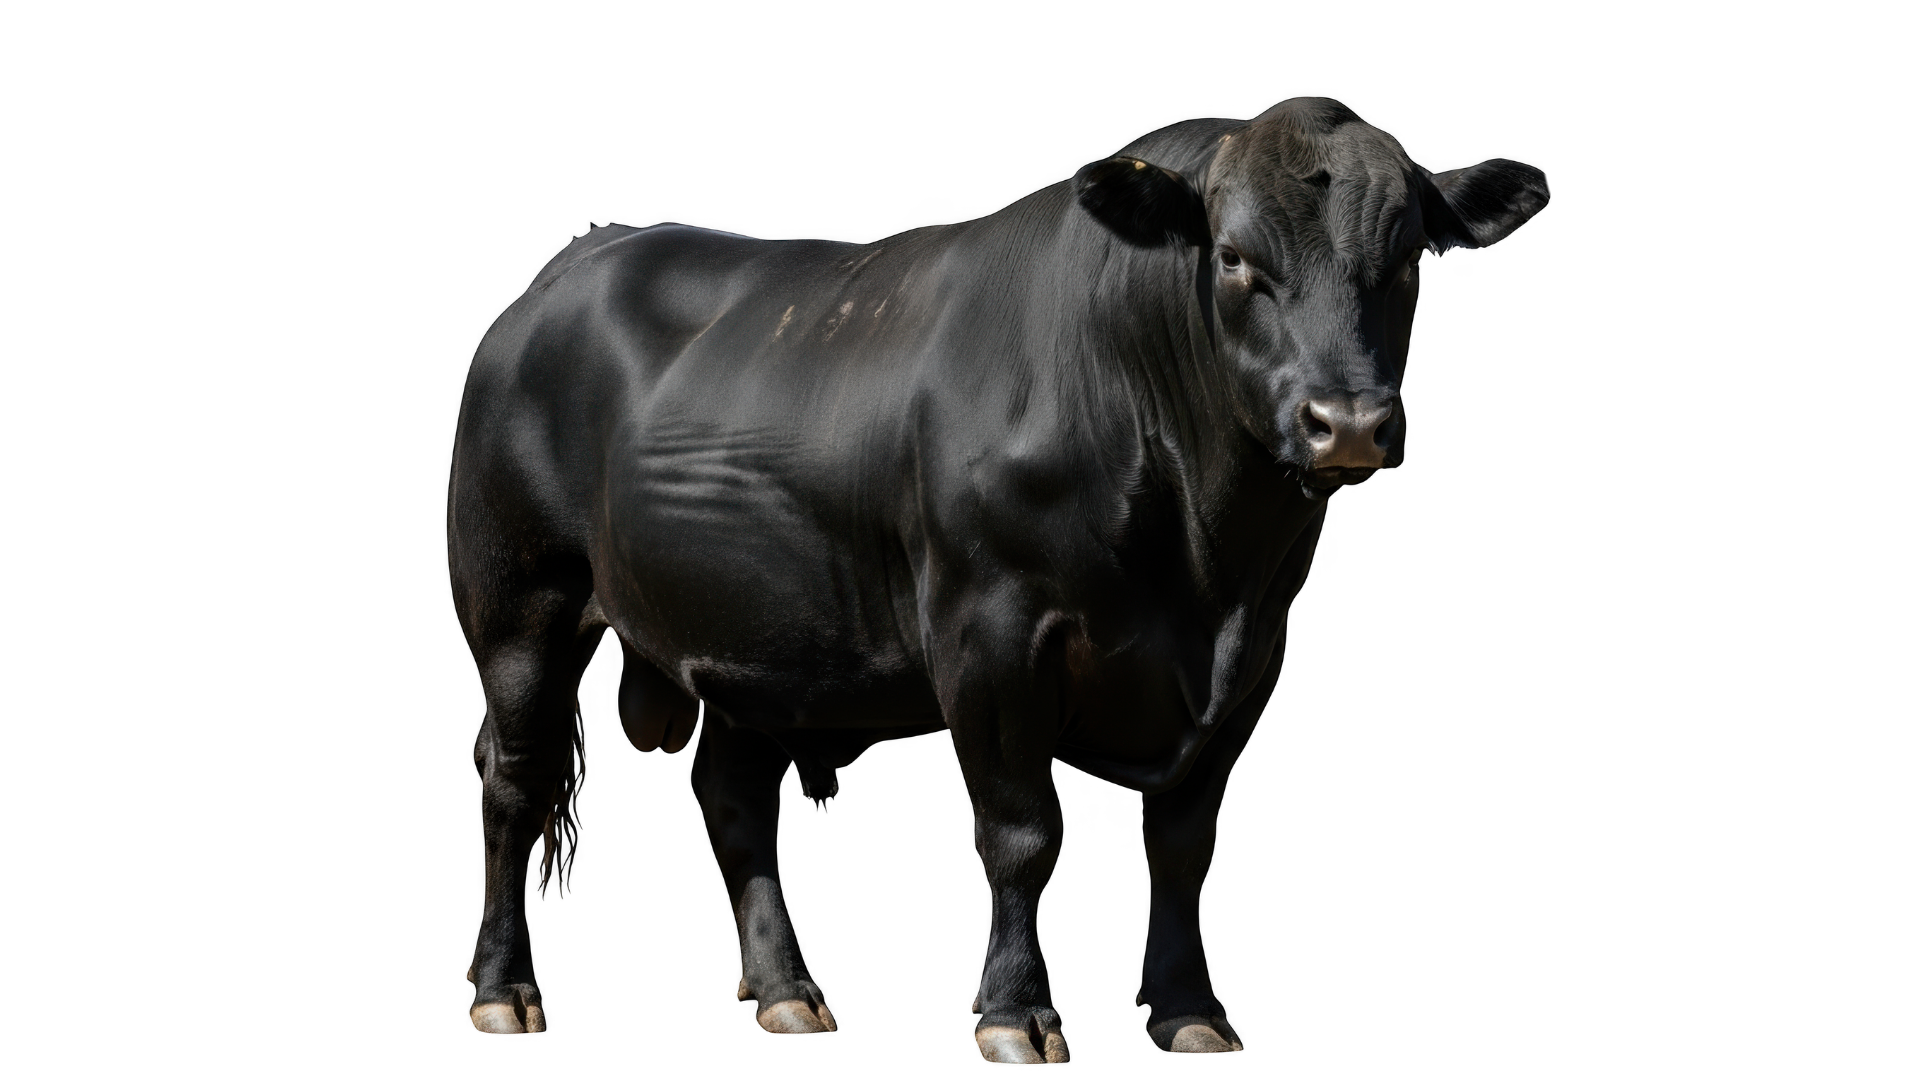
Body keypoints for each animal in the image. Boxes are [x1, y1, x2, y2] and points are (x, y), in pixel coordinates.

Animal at [450, 96, 1548, 1063]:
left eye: (1410, 261)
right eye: (1235, 259)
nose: (1348, 424)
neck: (1205, 566)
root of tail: (590, 250)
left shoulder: (1256, 660)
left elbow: (1184, 845)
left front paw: (1190, 1010)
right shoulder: (992, 632)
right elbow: (1022, 832)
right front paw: (1017, 1013)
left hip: (735, 639)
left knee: (736, 805)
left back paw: (785, 993)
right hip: (519, 605)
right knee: (515, 781)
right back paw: (506, 990)